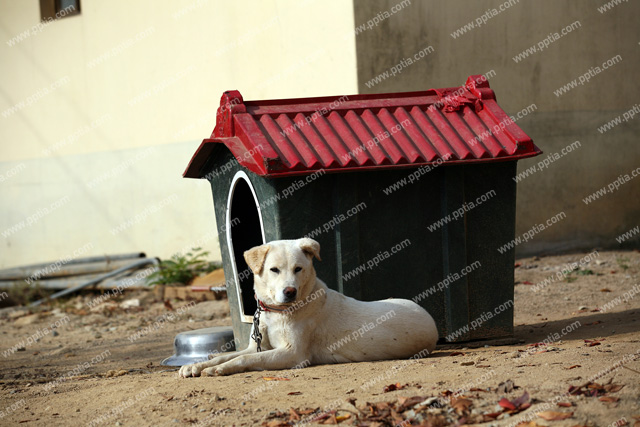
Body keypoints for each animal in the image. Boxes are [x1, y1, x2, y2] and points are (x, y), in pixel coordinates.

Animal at [180, 237, 440, 378]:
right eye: (274, 270)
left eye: (298, 269)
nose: (290, 292)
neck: (277, 314)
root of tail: (432, 321)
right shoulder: (257, 346)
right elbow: (227, 354)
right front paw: (195, 366)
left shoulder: (293, 354)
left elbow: (242, 359)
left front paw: (219, 369)